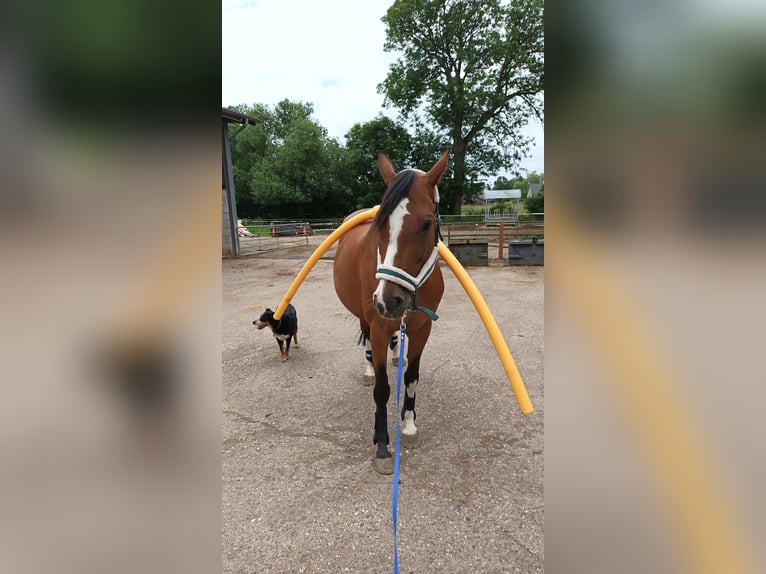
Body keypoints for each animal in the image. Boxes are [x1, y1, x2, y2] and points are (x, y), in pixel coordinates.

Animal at [334, 151, 450, 474]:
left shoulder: (423, 329)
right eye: (380, 224)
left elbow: (411, 378)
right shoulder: (378, 326)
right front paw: (384, 445)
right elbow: (383, 389)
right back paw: (369, 368)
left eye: (427, 223)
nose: (389, 300)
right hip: (367, 316)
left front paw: (408, 425)